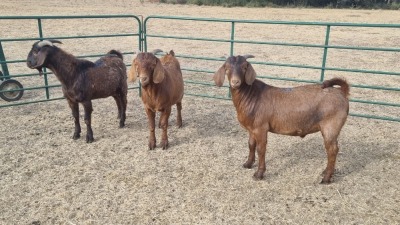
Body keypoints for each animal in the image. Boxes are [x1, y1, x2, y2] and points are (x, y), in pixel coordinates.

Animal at [214, 55, 348, 184]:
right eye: (226, 68)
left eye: (244, 67)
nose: (235, 82)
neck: (251, 96)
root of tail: (342, 92)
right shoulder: (251, 128)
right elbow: (251, 145)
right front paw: (248, 164)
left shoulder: (261, 128)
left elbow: (261, 149)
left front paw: (259, 174)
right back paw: (325, 172)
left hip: (331, 126)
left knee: (332, 149)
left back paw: (326, 178)